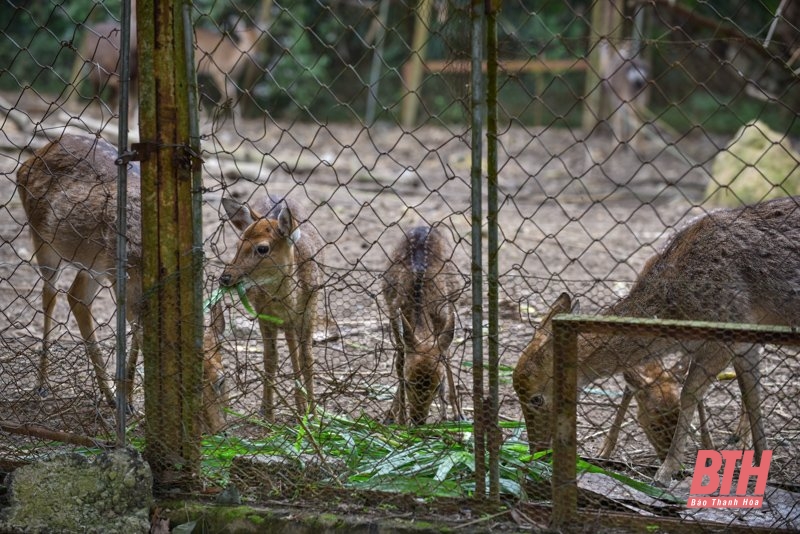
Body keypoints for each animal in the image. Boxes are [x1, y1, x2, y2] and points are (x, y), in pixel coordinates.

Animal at [16, 134, 228, 436]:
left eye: (221, 379)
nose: (221, 429)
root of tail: (32, 157)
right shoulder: (125, 282)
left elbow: (138, 337)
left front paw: (127, 400)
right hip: (44, 241)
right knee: (50, 295)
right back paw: (42, 385)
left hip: (93, 263)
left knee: (76, 296)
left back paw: (107, 394)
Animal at [219, 196, 324, 422]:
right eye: (238, 243)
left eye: (262, 248)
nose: (225, 277)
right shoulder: (264, 315)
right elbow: (270, 359)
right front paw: (269, 415)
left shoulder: (309, 310)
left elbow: (305, 358)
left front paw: (310, 413)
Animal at [382, 226, 462, 428]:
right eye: (408, 383)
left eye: (436, 387)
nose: (418, 420)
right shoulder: (394, 315)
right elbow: (400, 362)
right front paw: (399, 419)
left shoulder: (444, 317)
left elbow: (445, 357)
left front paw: (449, 415)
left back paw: (457, 414)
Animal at [512, 198, 800, 490]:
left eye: (537, 398)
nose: (535, 451)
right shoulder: (745, 344)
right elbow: (753, 398)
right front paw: (760, 468)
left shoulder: (726, 334)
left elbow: (689, 394)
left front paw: (665, 472)